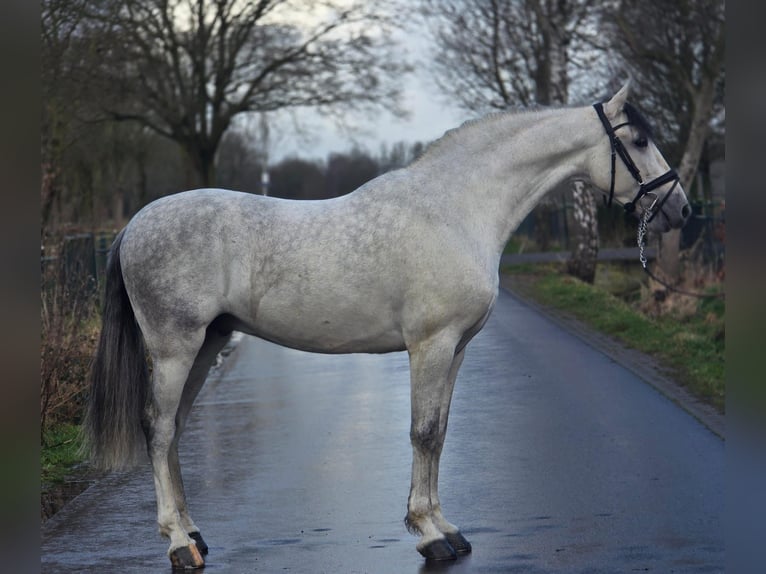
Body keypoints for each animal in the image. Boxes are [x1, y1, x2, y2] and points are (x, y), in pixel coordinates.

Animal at [84, 81, 690, 568]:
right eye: (638, 140)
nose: (681, 209)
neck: (455, 210)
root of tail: (133, 225)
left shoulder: (457, 349)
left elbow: (439, 433)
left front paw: (446, 528)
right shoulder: (431, 345)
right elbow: (422, 433)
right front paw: (428, 536)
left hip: (208, 345)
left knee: (175, 430)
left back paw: (193, 534)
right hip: (174, 347)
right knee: (158, 430)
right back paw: (177, 545)